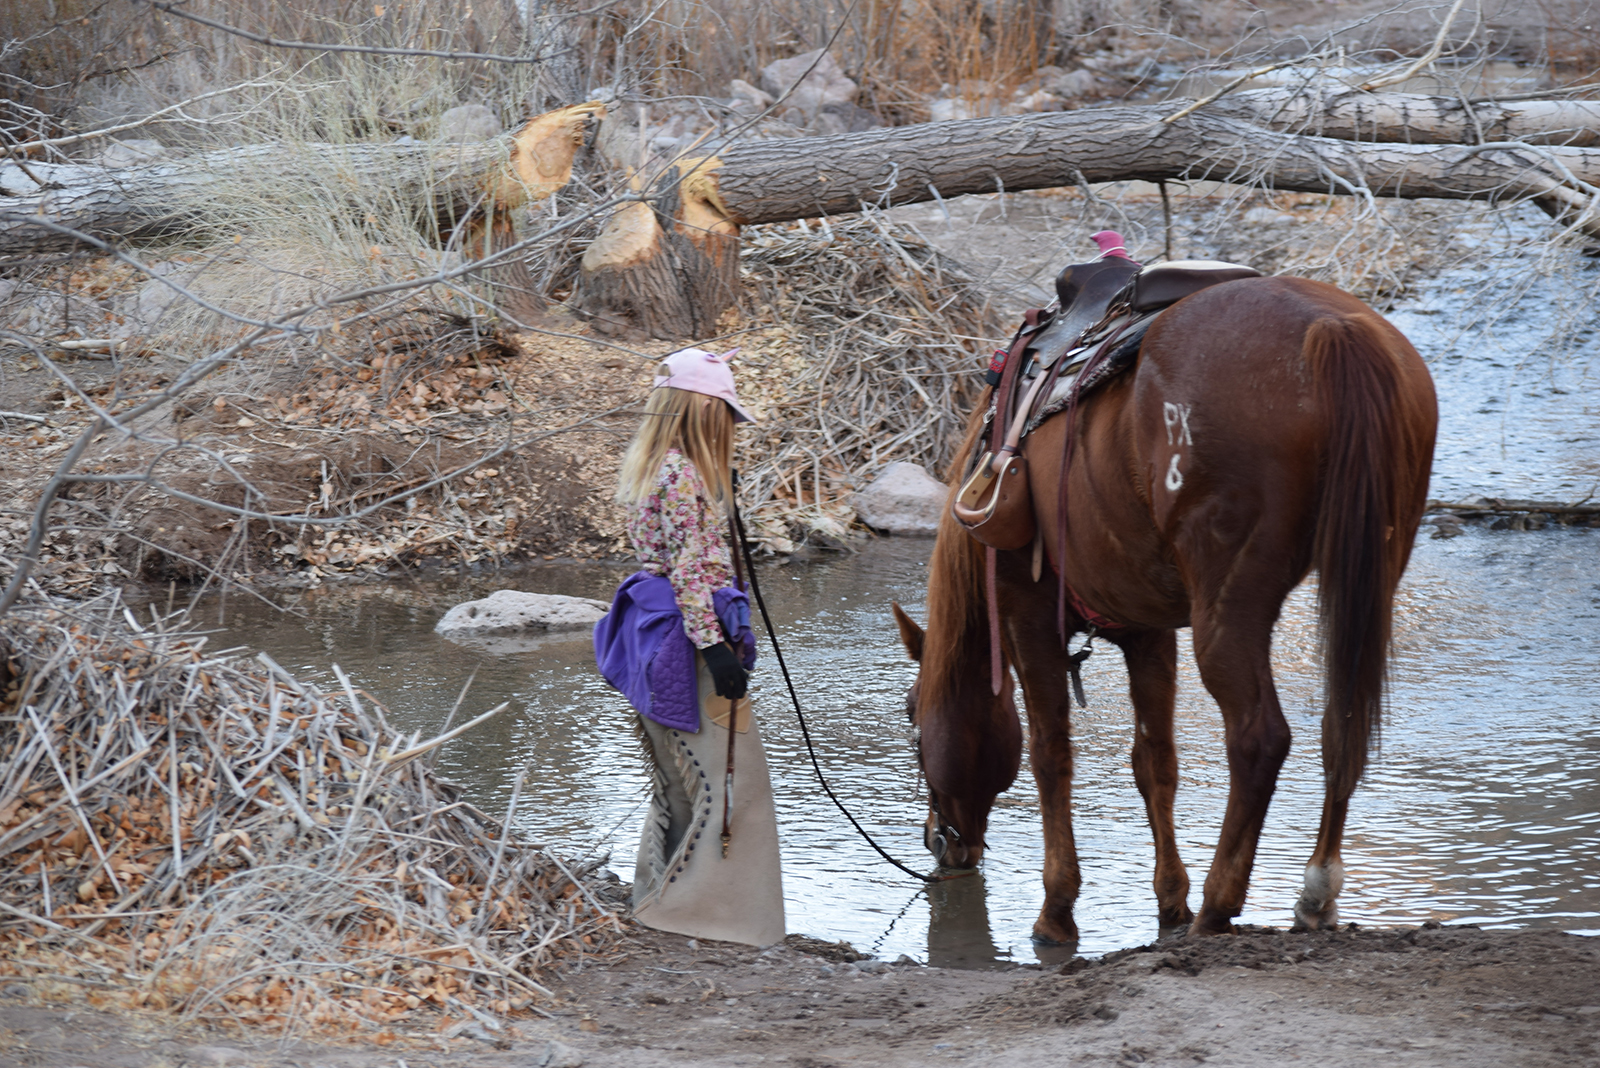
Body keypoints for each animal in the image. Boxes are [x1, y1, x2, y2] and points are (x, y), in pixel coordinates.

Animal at [891, 274, 1438, 941]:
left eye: (914, 718)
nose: (938, 842)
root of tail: (1334, 329)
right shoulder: (1147, 629)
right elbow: (1154, 762)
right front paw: (1169, 901)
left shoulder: (1026, 615)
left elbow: (1051, 753)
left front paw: (1057, 911)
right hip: (1368, 579)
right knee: (1345, 726)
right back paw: (1313, 895)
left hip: (1228, 605)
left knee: (1259, 740)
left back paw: (1219, 906)